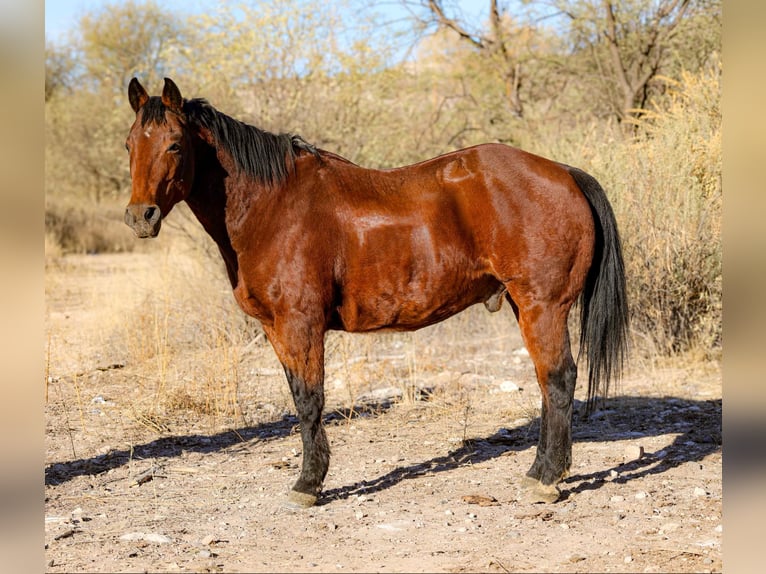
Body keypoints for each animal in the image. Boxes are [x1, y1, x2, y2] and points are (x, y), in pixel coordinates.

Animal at [124, 77, 629, 507]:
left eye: (174, 144)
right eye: (130, 144)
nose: (140, 216)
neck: (274, 206)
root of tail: (564, 172)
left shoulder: (301, 324)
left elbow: (310, 401)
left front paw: (308, 484)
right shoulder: (275, 329)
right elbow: (297, 396)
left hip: (543, 307)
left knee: (559, 380)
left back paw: (547, 480)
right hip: (525, 308)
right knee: (547, 383)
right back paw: (540, 471)